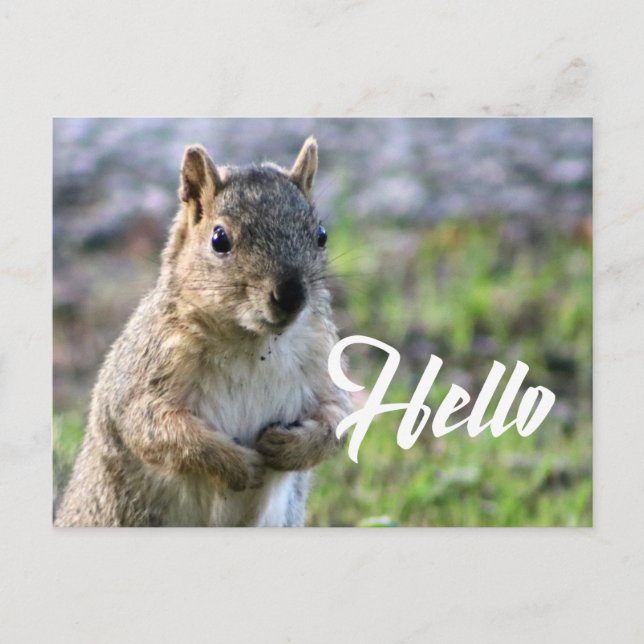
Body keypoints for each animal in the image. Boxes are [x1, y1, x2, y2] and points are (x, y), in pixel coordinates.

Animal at [55, 137, 352, 527]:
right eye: (219, 239)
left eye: (321, 236)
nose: (290, 295)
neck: (254, 344)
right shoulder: (148, 371)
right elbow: (154, 429)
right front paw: (238, 464)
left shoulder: (322, 361)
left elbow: (339, 417)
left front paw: (287, 447)